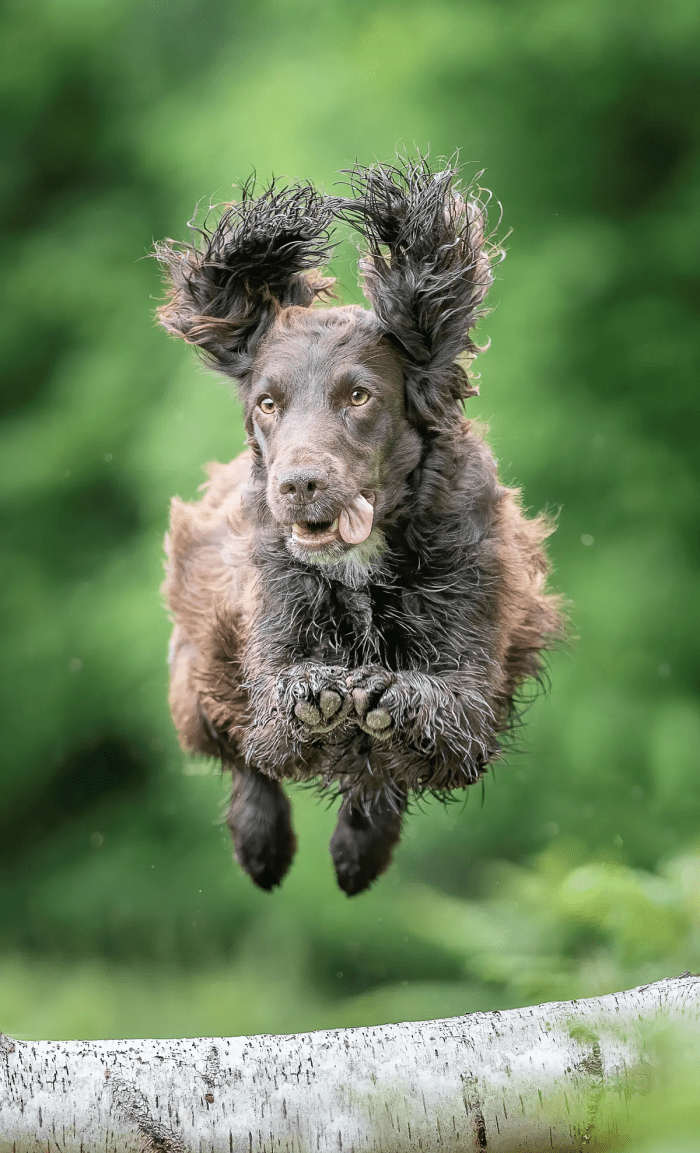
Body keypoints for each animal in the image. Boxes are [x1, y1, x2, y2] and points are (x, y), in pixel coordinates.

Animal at [153, 157, 565, 894]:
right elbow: (273, 714)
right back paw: (262, 844)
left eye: (358, 395)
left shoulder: (475, 669)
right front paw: (315, 694)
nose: (298, 484)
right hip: (197, 664)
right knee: (244, 759)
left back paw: (359, 847)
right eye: (267, 403)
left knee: (378, 776)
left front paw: (390, 697)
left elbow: (441, 704)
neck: (359, 563)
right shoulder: (266, 632)